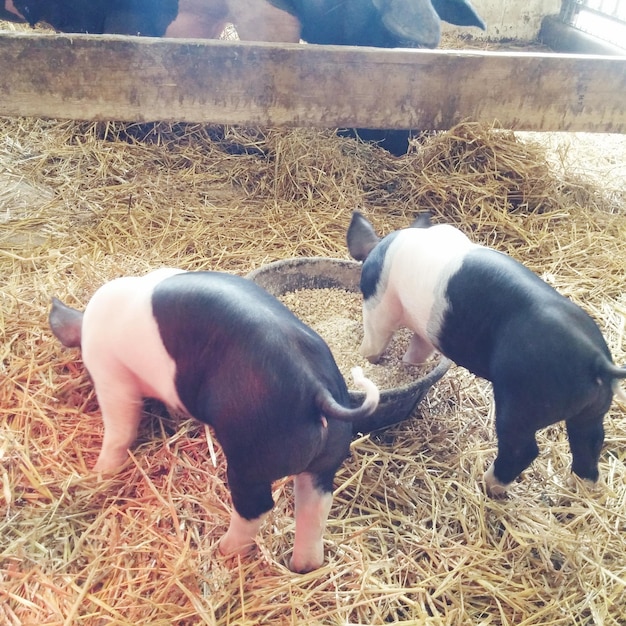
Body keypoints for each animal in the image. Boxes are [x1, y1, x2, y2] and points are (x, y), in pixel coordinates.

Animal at [48, 268, 378, 572]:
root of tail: (315, 388)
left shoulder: (112, 377)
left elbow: (120, 431)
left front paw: (98, 474)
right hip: (327, 457)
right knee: (314, 505)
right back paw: (302, 567)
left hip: (250, 455)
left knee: (256, 506)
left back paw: (223, 551)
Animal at [346, 212, 624, 494]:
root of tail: (597, 360)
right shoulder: (425, 332)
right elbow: (418, 350)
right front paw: (408, 365)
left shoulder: (379, 303)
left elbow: (376, 335)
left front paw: (367, 358)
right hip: (593, 410)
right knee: (589, 442)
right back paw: (582, 486)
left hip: (521, 402)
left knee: (522, 448)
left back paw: (489, 485)